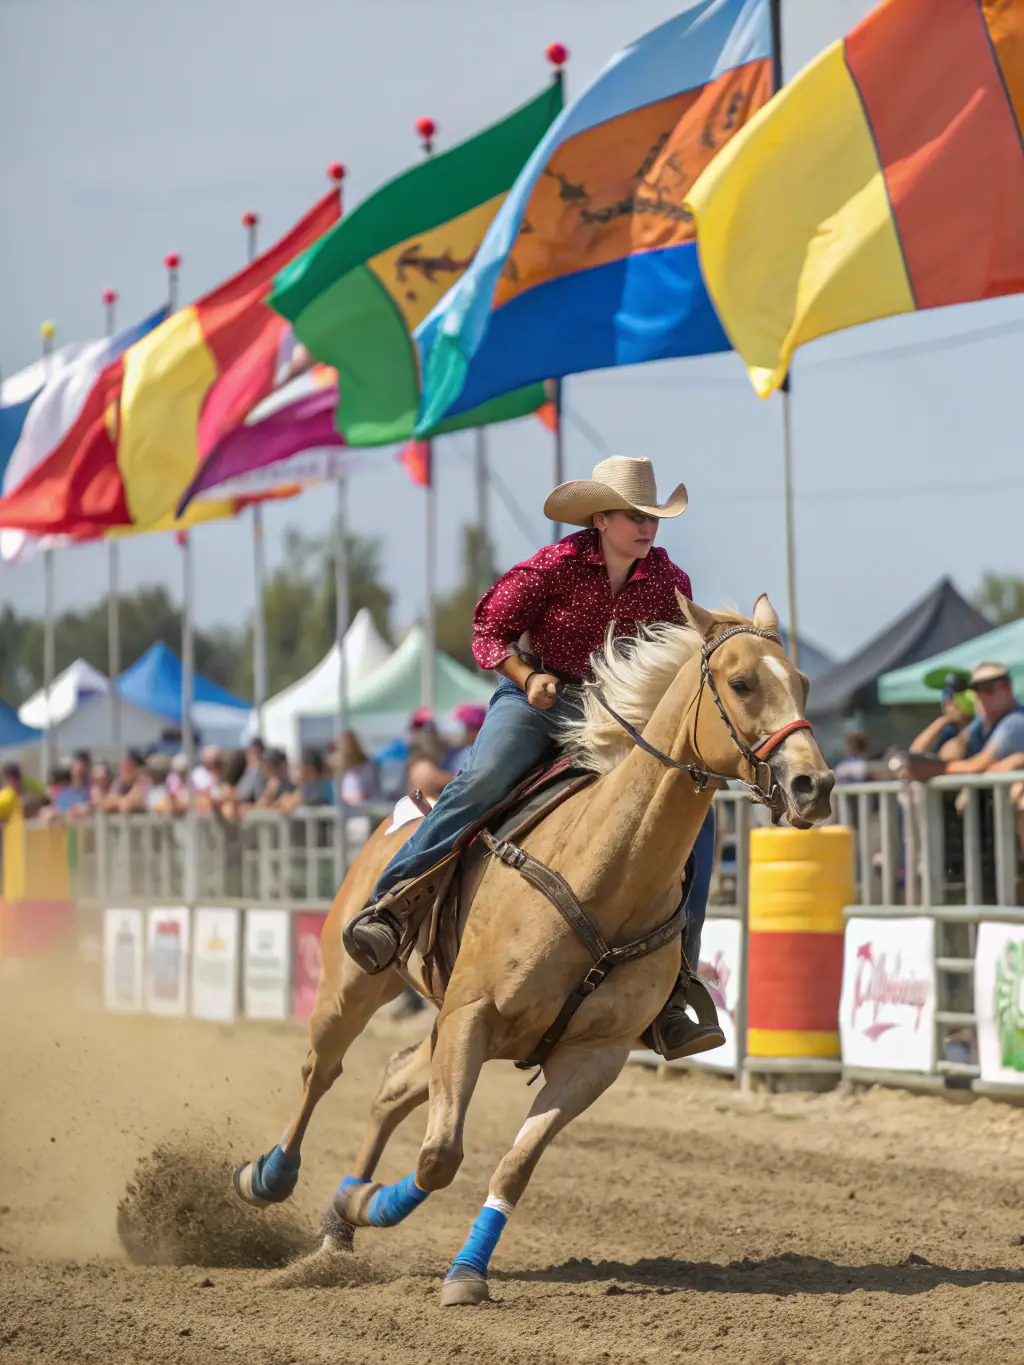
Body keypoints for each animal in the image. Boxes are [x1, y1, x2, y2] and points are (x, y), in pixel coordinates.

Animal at [232, 594, 835, 1305]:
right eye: (741, 683)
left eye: (803, 683)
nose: (814, 785)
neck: (602, 876)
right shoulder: (471, 1016)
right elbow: (441, 1155)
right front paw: (374, 1206)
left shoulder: (593, 1056)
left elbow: (509, 1163)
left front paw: (458, 1266)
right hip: (351, 986)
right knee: (321, 1071)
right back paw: (270, 1177)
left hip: (439, 1022)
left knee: (394, 1084)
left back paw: (339, 1224)